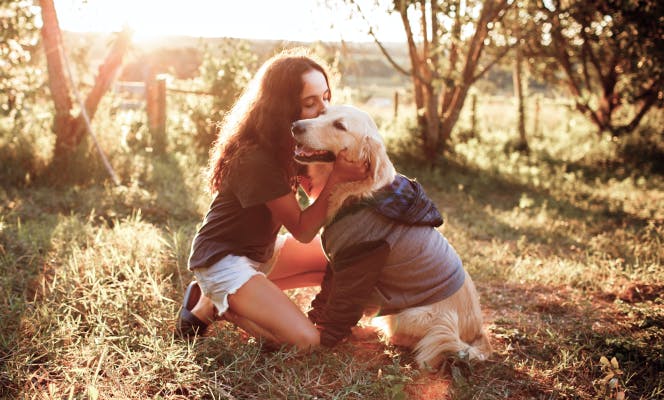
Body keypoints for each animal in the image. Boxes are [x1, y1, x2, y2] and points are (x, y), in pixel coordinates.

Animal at [294, 104, 490, 370]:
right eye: (322, 112)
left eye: (340, 126)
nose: (295, 125)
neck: (358, 194)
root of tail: (478, 332)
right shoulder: (336, 264)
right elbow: (325, 296)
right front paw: (314, 320)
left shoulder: (360, 259)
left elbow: (340, 306)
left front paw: (325, 339)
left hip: (413, 316)